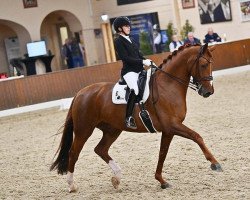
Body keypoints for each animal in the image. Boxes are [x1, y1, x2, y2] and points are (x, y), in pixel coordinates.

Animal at [49, 43, 222, 192]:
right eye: (204, 64)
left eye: (211, 63)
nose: (208, 92)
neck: (168, 85)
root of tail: (80, 93)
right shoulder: (172, 125)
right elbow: (197, 137)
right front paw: (215, 163)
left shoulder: (168, 130)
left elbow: (162, 153)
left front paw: (161, 181)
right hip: (84, 130)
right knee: (73, 153)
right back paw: (72, 185)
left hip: (112, 130)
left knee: (100, 149)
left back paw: (117, 178)